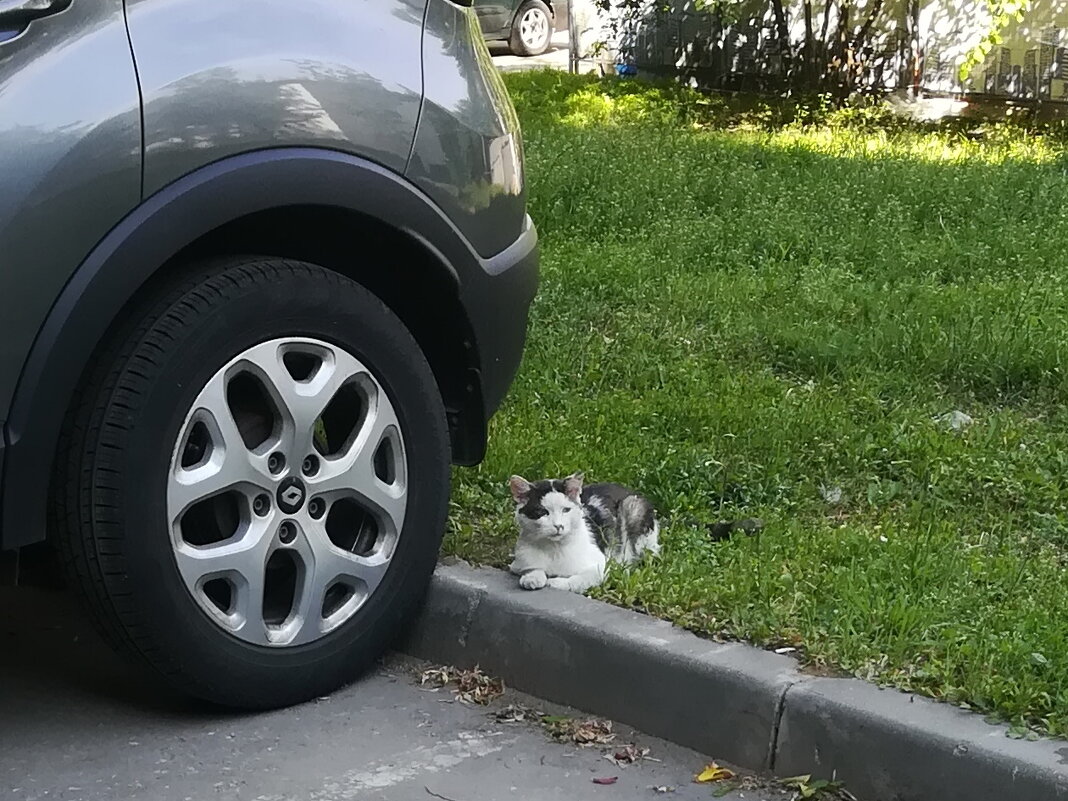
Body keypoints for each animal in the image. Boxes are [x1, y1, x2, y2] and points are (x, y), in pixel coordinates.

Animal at [508, 474, 657, 593]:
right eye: (542, 512)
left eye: (566, 510)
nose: (558, 526)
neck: (554, 548)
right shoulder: (518, 563)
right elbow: (532, 567)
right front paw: (532, 577)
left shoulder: (602, 567)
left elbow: (578, 579)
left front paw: (557, 582)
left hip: (632, 508)